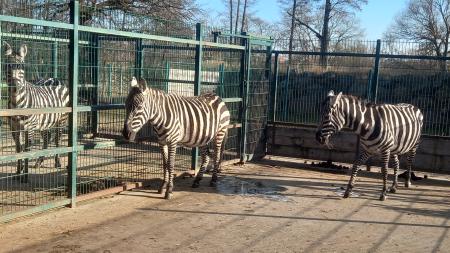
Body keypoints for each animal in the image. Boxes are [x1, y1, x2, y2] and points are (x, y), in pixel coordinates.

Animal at [3, 43, 70, 182]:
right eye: (7, 66)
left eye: (22, 67)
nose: (15, 87)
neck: (17, 103)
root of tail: (54, 78)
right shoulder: (14, 127)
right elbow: (18, 148)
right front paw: (18, 172)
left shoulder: (30, 127)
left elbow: (27, 149)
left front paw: (25, 176)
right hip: (45, 122)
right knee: (46, 138)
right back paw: (39, 162)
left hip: (62, 119)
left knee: (57, 140)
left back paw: (57, 162)